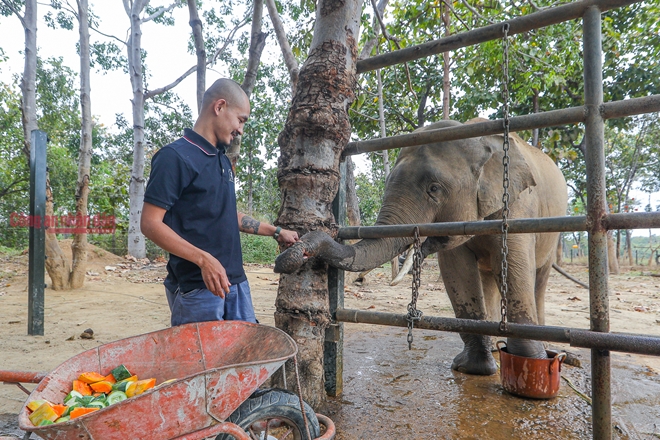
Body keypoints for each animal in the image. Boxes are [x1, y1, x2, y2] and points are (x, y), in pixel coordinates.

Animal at [274, 118, 568, 376]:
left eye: (434, 189)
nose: (285, 259)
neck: (478, 137)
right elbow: (457, 271)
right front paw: (471, 368)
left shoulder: (518, 205)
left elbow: (514, 269)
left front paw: (529, 370)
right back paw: (497, 348)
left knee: (538, 277)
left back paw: (542, 346)